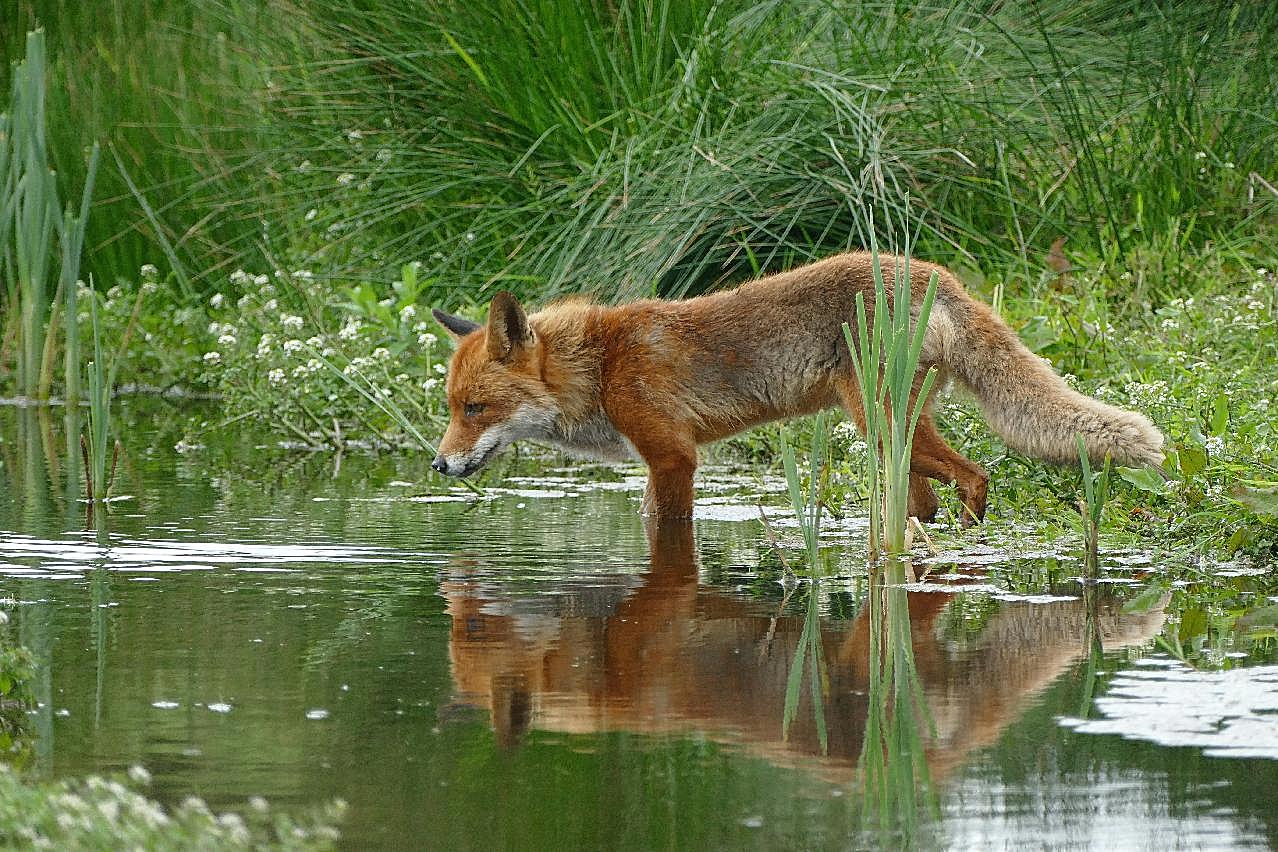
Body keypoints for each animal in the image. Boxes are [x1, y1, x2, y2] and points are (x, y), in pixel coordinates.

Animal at [426, 250, 1160, 523]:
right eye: (452, 409)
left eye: (476, 408)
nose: (438, 464)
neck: (600, 366)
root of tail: (936, 275)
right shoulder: (659, 461)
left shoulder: (673, 457)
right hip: (895, 438)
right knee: (929, 498)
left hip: (882, 424)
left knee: (977, 475)